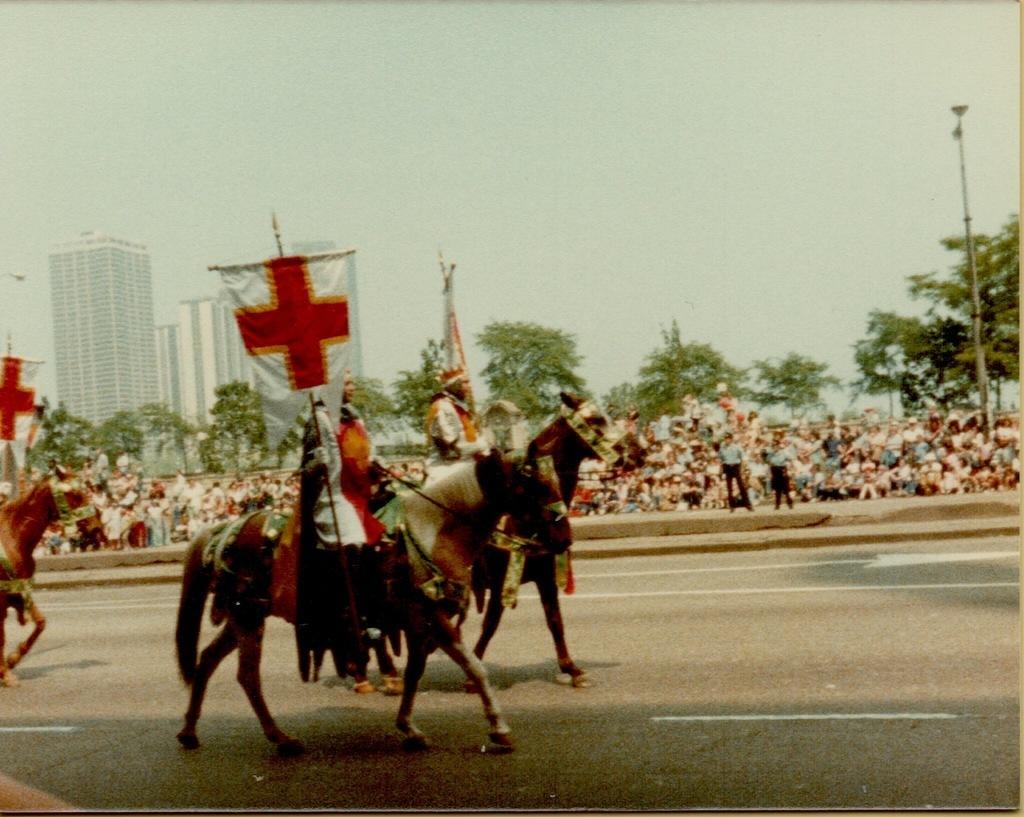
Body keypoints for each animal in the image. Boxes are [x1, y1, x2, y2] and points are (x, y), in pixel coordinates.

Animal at [0, 473, 105, 692]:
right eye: (76, 494)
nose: (97, 527)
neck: (12, 536)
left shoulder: (20, 591)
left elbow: (40, 623)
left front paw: (13, 659)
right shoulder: (1, 598)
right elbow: (1, 637)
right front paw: (6, 674)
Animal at [176, 444, 577, 757]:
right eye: (536, 483)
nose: (564, 538)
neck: (434, 529)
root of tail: (224, 528)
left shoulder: (419, 621)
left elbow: (416, 672)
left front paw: (409, 727)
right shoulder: (433, 615)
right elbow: (475, 667)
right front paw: (499, 729)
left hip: (241, 617)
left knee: (207, 660)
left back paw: (190, 731)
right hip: (248, 618)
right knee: (247, 676)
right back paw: (281, 738)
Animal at [468, 393, 643, 688]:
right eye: (596, 420)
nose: (639, 452)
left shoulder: (546, 577)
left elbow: (555, 621)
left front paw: (572, 669)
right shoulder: (502, 581)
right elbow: (490, 624)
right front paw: (474, 671)